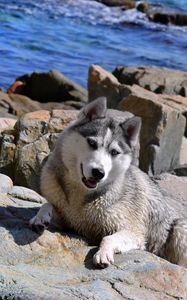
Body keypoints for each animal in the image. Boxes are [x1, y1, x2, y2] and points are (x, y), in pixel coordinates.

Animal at [29, 96, 187, 268]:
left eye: (114, 152)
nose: (98, 173)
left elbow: (108, 237)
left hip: (180, 229)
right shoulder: (68, 219)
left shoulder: (134, 231)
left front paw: (103, 253)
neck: (81, 194)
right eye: (92, 143)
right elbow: (47, 204)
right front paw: (39, 217)